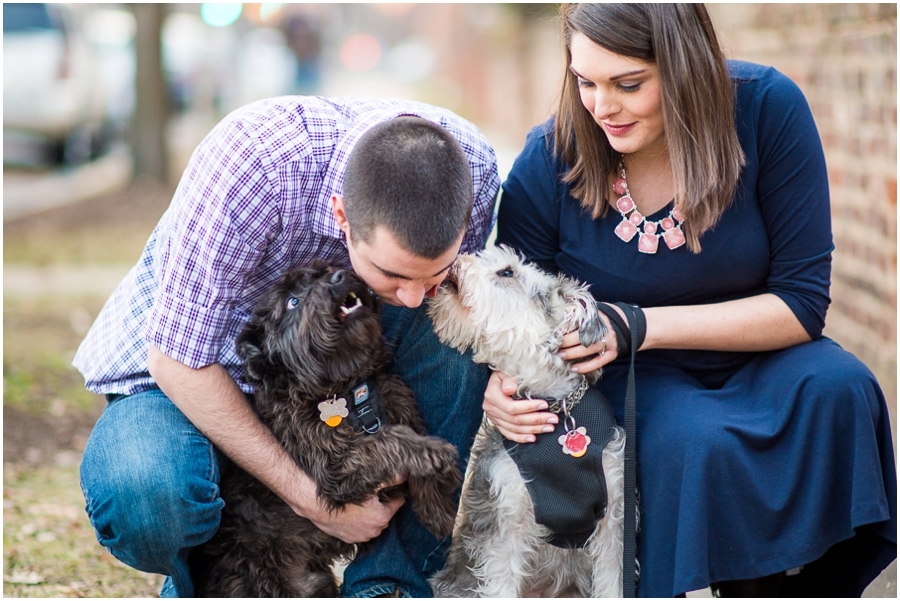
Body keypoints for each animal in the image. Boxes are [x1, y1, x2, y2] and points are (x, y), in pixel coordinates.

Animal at [428, 243, 624, 596]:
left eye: (507, 271)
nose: (454, 261)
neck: (557, 408)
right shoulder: (505, 523)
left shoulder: (613, 520)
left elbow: (613, 584)